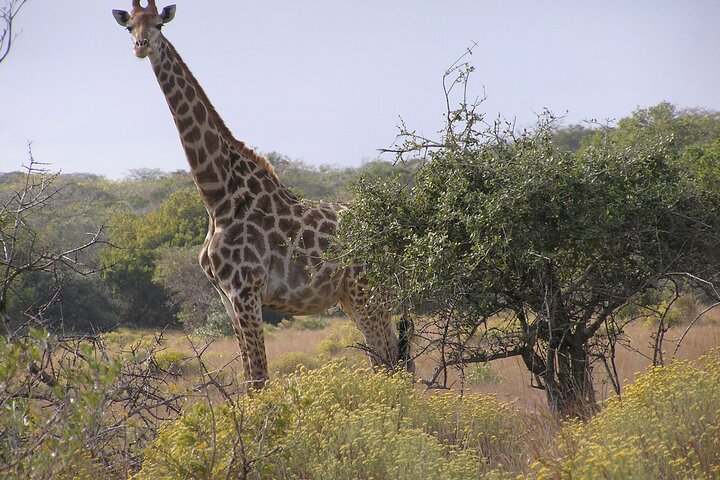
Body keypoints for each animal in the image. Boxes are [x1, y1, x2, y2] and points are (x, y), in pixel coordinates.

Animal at [112, 1, 409, 389]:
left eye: (159, 24)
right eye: (129, 26)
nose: (141, 45)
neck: (218, 198)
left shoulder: (246, 289)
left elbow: (259, 379)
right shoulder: (226, 295)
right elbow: (249, 378)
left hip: (366, 292)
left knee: (388, 363)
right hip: (356, 296)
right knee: (391, 361)